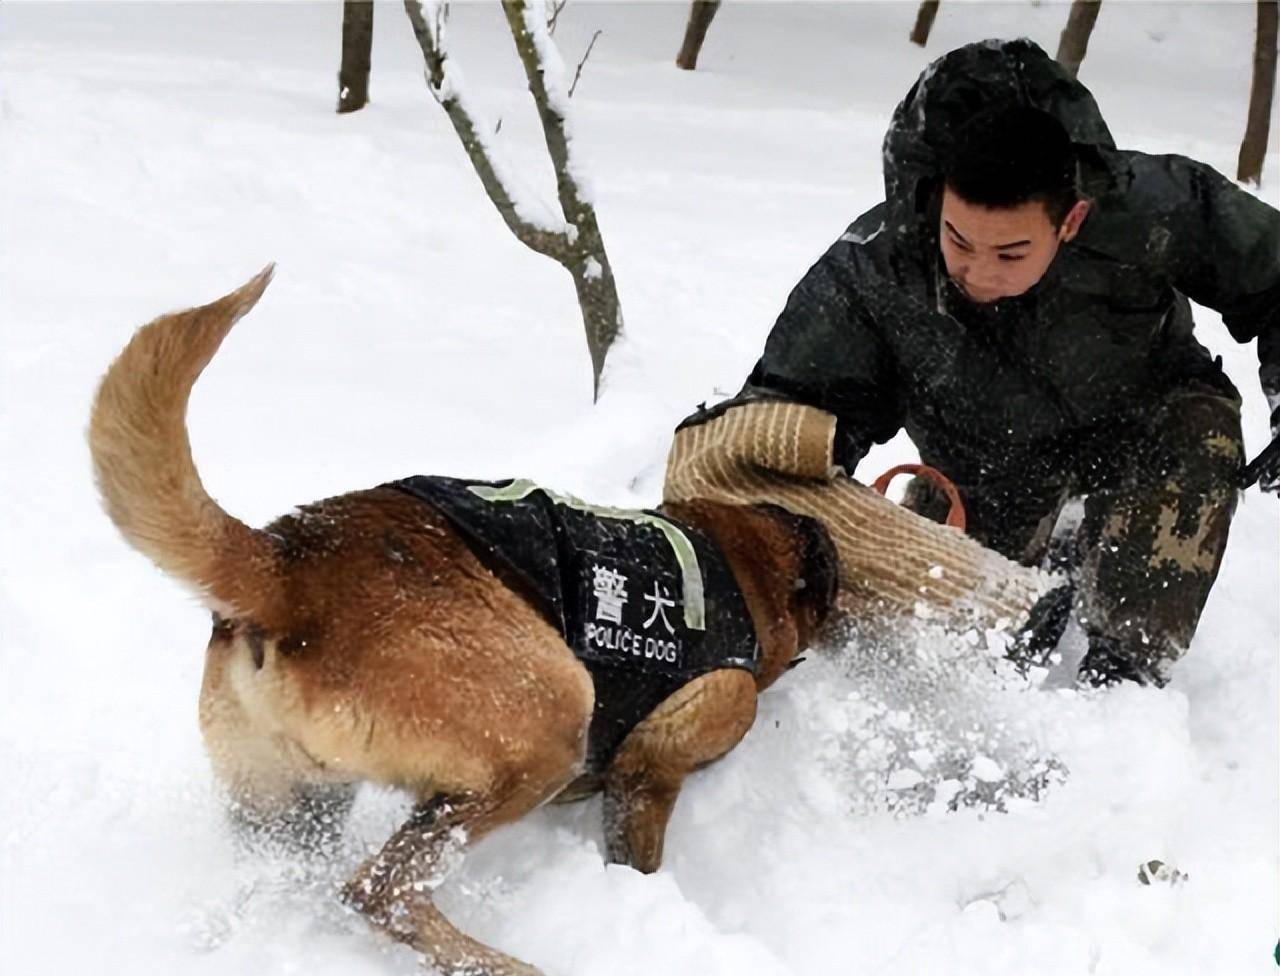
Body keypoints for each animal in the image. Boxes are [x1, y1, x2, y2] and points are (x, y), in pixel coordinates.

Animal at [87, 266, 829, 973]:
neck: (745, 560)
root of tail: (289, 564)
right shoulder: (663, 757)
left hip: (292, 806)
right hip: (550, 720)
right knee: (380, 889)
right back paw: (504, 965)